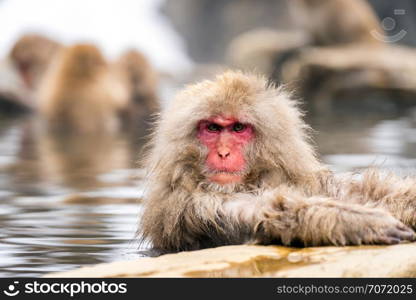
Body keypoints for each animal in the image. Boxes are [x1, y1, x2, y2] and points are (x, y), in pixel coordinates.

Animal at [139, 71, 416, 252]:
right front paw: (359, 221)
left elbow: (364, 192)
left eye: (238, 128)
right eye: (213, 128)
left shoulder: (307, 180)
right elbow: (271, 210)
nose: (223, 153)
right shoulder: (195, 205)